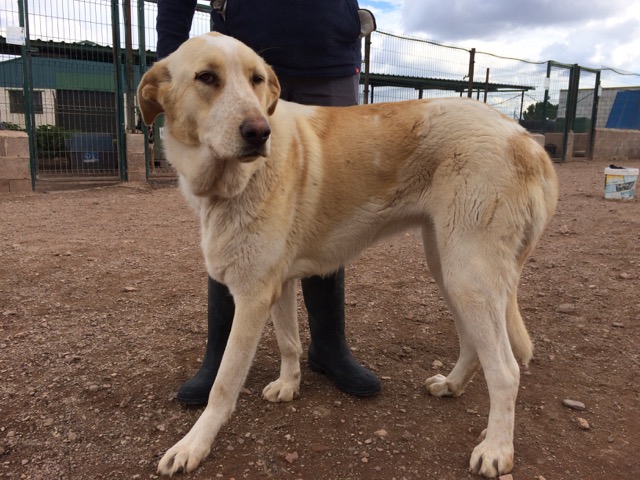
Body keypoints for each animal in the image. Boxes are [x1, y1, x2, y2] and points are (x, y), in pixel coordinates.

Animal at [137, 32, 558, 477]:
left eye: (256, 79)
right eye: (206, 77)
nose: (259, 133)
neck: (232, 181)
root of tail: (525, 139)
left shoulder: (252, 295)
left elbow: (223, 383)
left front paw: (193, 445)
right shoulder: (276, 284)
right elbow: (289, 341)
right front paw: (289, 385)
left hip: (469, 276)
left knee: (506, 370)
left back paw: (496, 448)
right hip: (448, 268)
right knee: (474, 345)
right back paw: (452, 386)